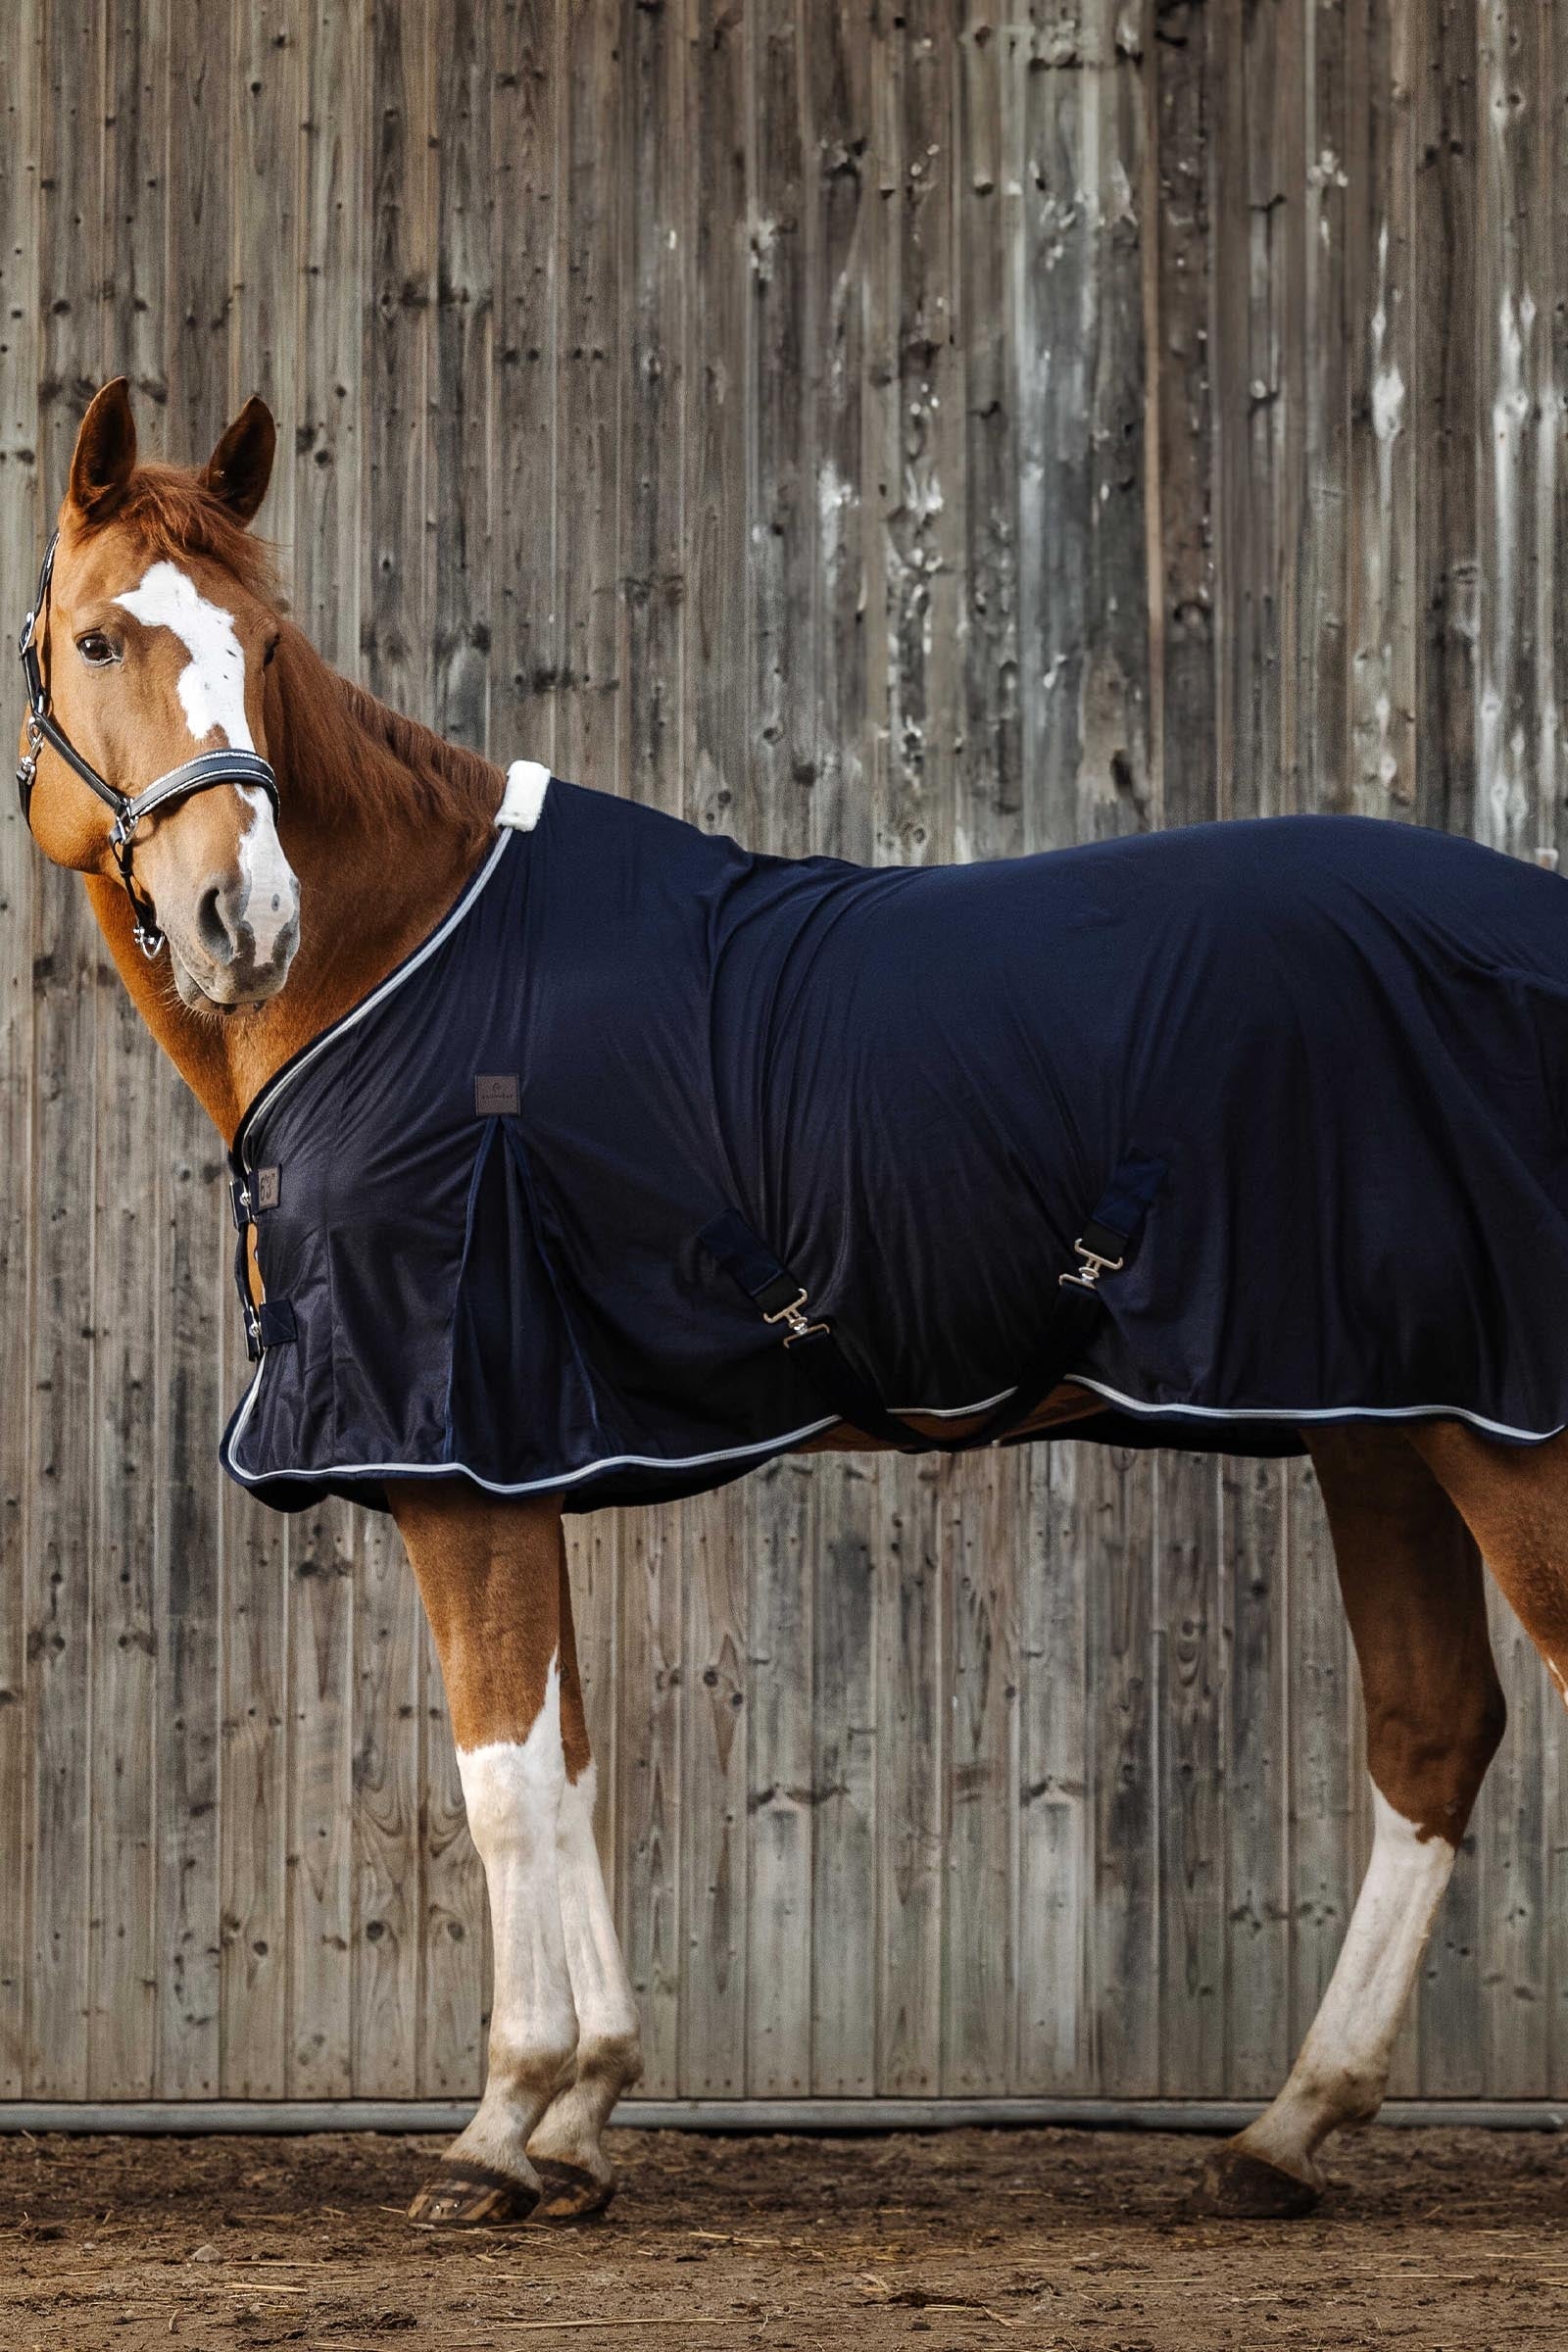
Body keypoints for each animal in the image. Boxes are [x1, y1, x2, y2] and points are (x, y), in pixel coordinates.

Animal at [14, 375, 1568, 2228]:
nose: (237, 916)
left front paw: (499, 2127)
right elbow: (571, 1765)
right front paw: (584, 2118)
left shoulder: (458, 1459)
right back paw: (1282, 2134)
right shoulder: (521, 1455)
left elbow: (502, 1786)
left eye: (265, 640)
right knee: (1432, 1732)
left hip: (1502, 1433)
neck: (402, 963)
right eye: (99, 635)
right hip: (1386, 1425)